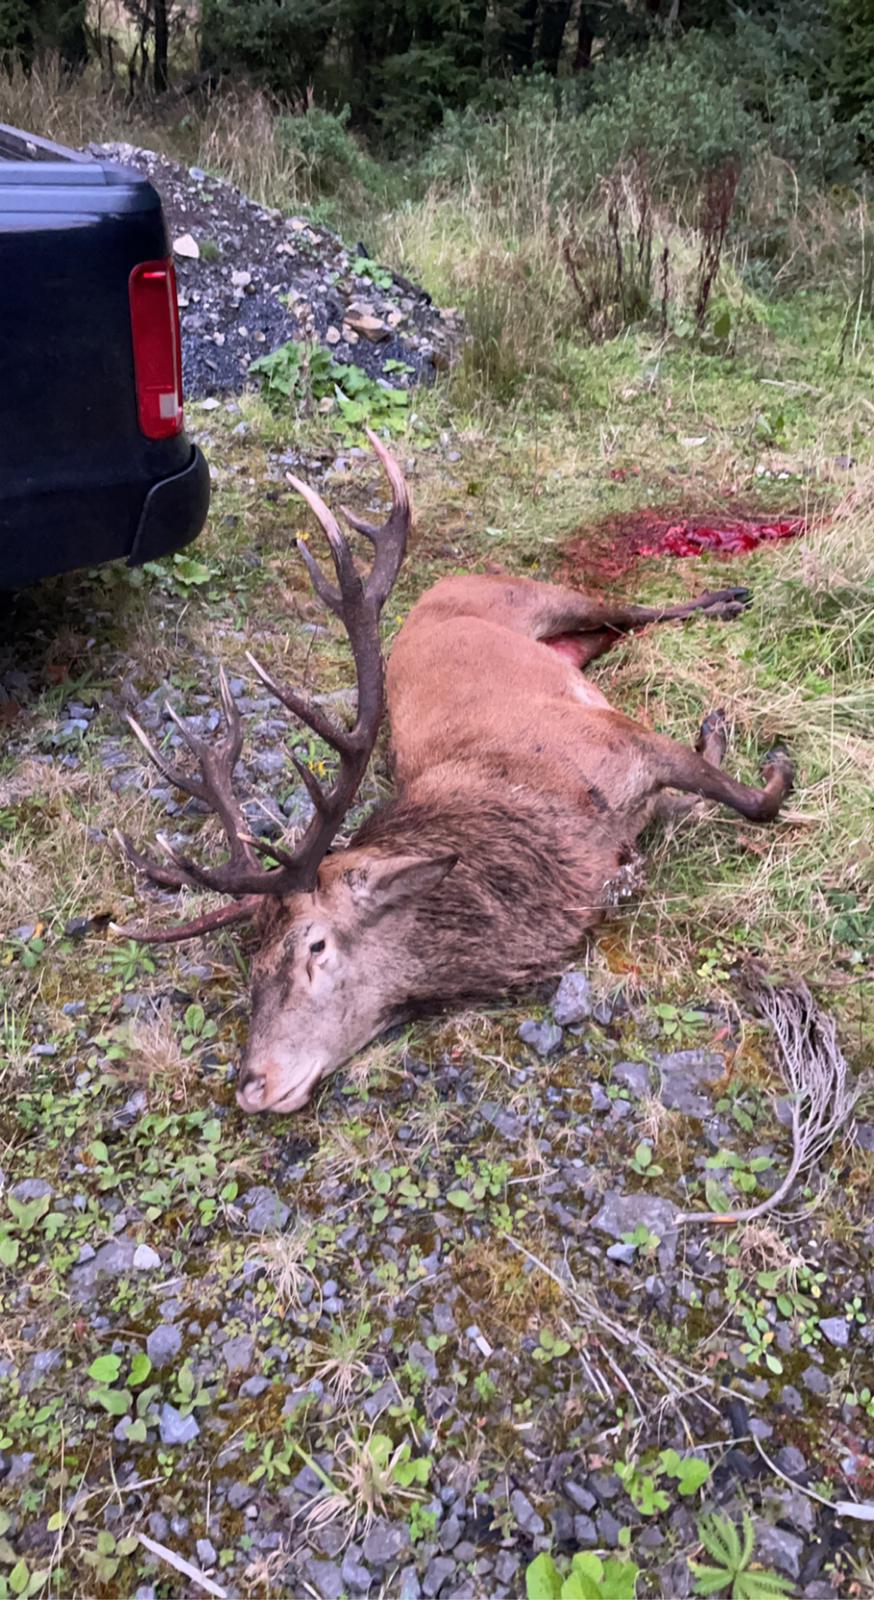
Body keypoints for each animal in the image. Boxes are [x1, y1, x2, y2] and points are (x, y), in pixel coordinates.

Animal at [117, 432, 793, 1115]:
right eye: (251, 965)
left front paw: (770, 761)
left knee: (627, 608)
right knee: (611, 629)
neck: (565, 842)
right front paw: (716, 730)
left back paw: (726, 599)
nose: (252, 1085)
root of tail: (442, 580)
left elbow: (751, 801)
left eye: (315, 946)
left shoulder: (622, 739)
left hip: (537, 593)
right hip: (571, 642)